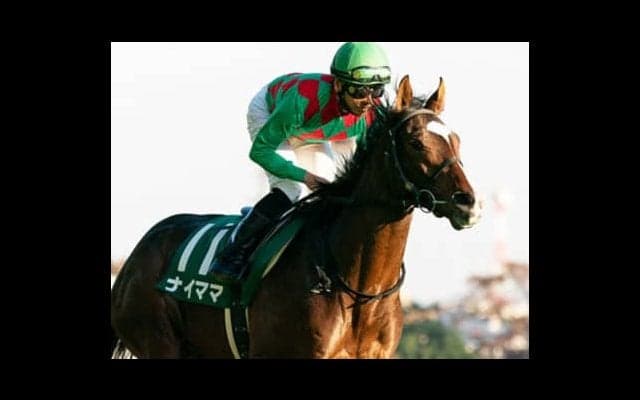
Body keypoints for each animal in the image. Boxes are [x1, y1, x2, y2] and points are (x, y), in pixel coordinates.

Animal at [110, 75, 482, 358]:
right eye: (416, 142)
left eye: (456, 140)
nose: (469, 205)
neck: (358, 285)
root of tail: (136, 255)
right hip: (159, 341)